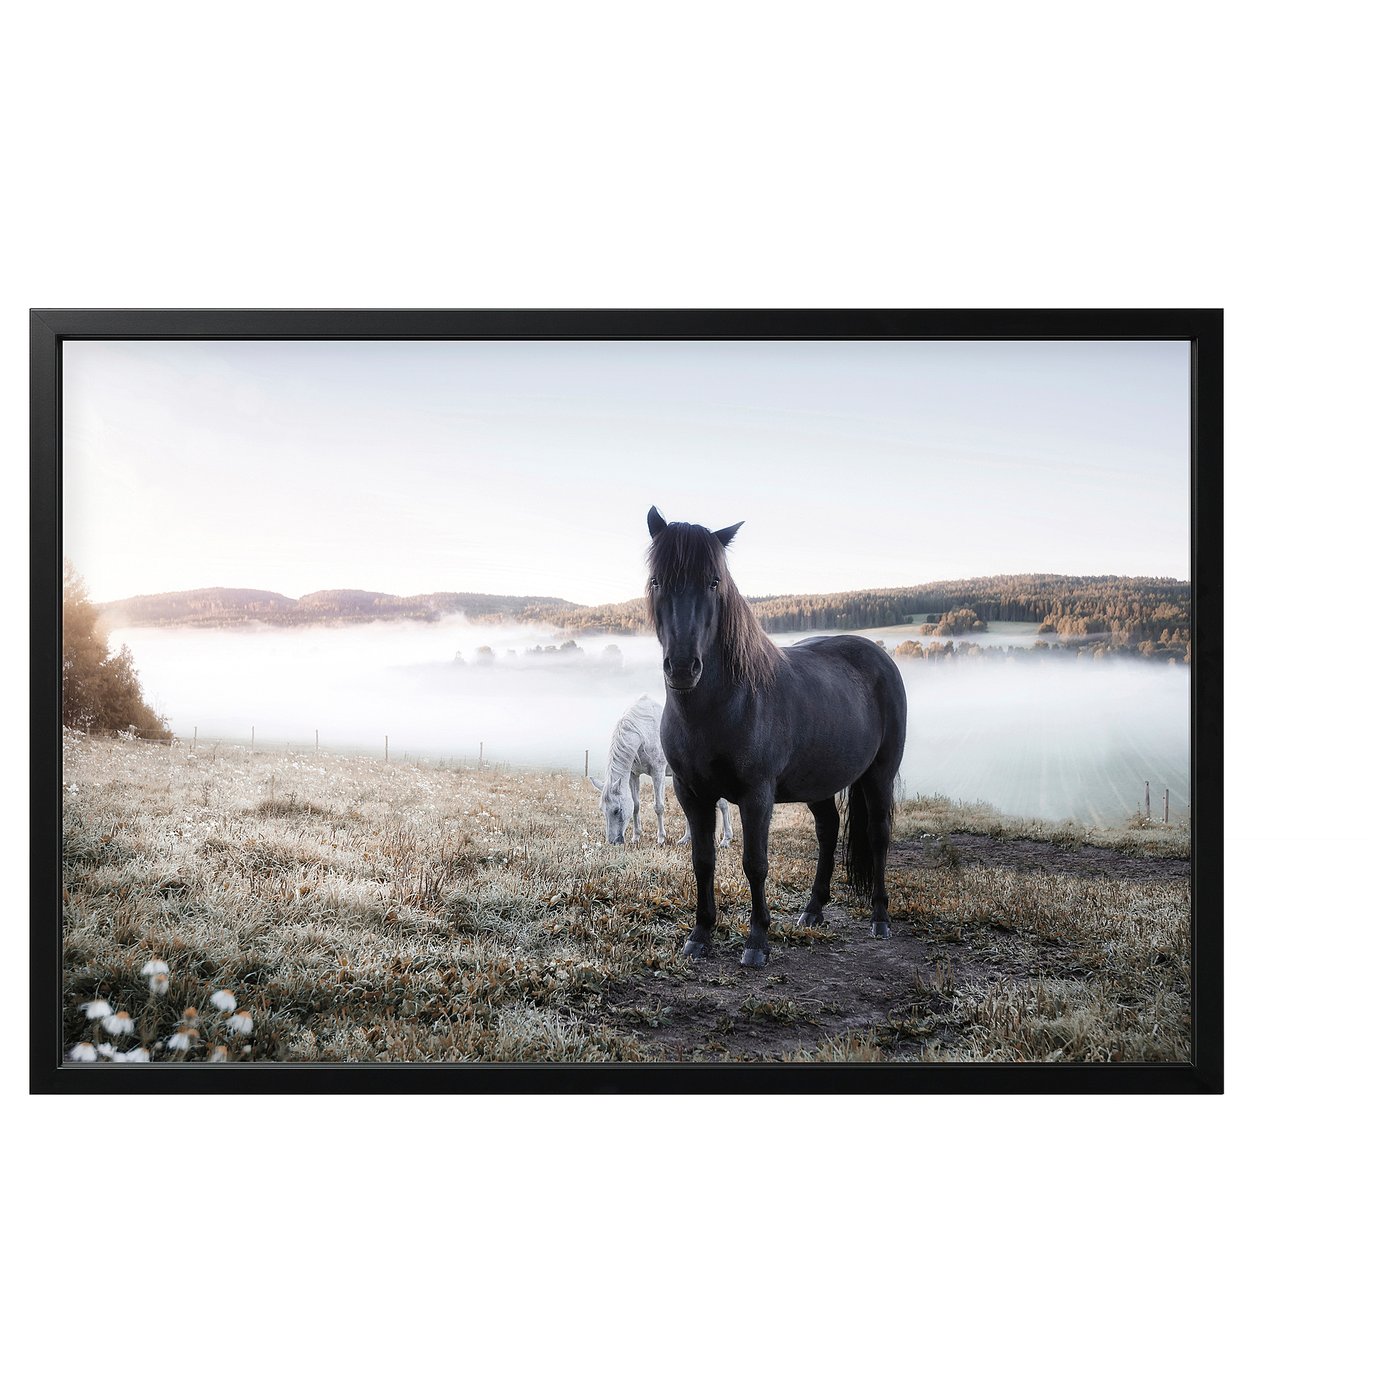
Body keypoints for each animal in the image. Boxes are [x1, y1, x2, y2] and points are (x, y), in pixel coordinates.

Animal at [590, 695, 733, 847]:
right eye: (602, 809)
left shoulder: (657, 772)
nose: (613, 842)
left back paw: (726, 839)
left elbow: (658, 807)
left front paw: (661, 839)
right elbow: (636, 805)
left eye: (617, 810)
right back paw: (686, 839)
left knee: (723, 805)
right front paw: (636, 837)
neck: (645, 731)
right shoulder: (633, 775)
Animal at [645, 506, 908, 968]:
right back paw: (813, 910)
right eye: (658, 580)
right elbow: (703, 860)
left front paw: (757, 941)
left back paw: (880, 918)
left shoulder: (757, 794)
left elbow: (755, 863)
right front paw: (700, 934)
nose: (682, 667)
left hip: (879, 775)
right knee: (828, 830)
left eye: (714, 582)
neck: (723, 705)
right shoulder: (690, 793)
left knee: (878, 836)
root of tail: (879, 656)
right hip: (819, 781)